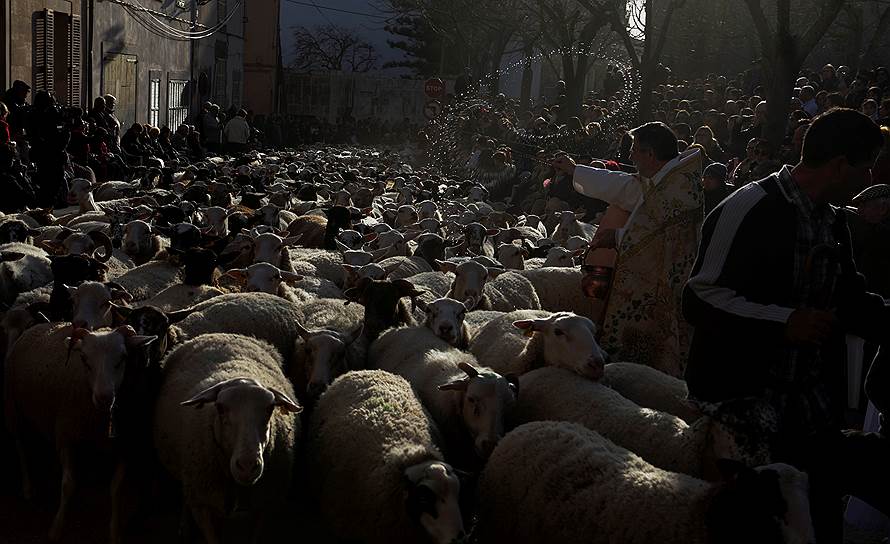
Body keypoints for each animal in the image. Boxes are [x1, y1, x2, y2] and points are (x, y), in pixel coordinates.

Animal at [153, 334, 302, 544]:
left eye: (270, 407)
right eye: (220, 407)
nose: (247, 466)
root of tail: (222, 333)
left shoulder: (265, 504)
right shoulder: (203, 503)